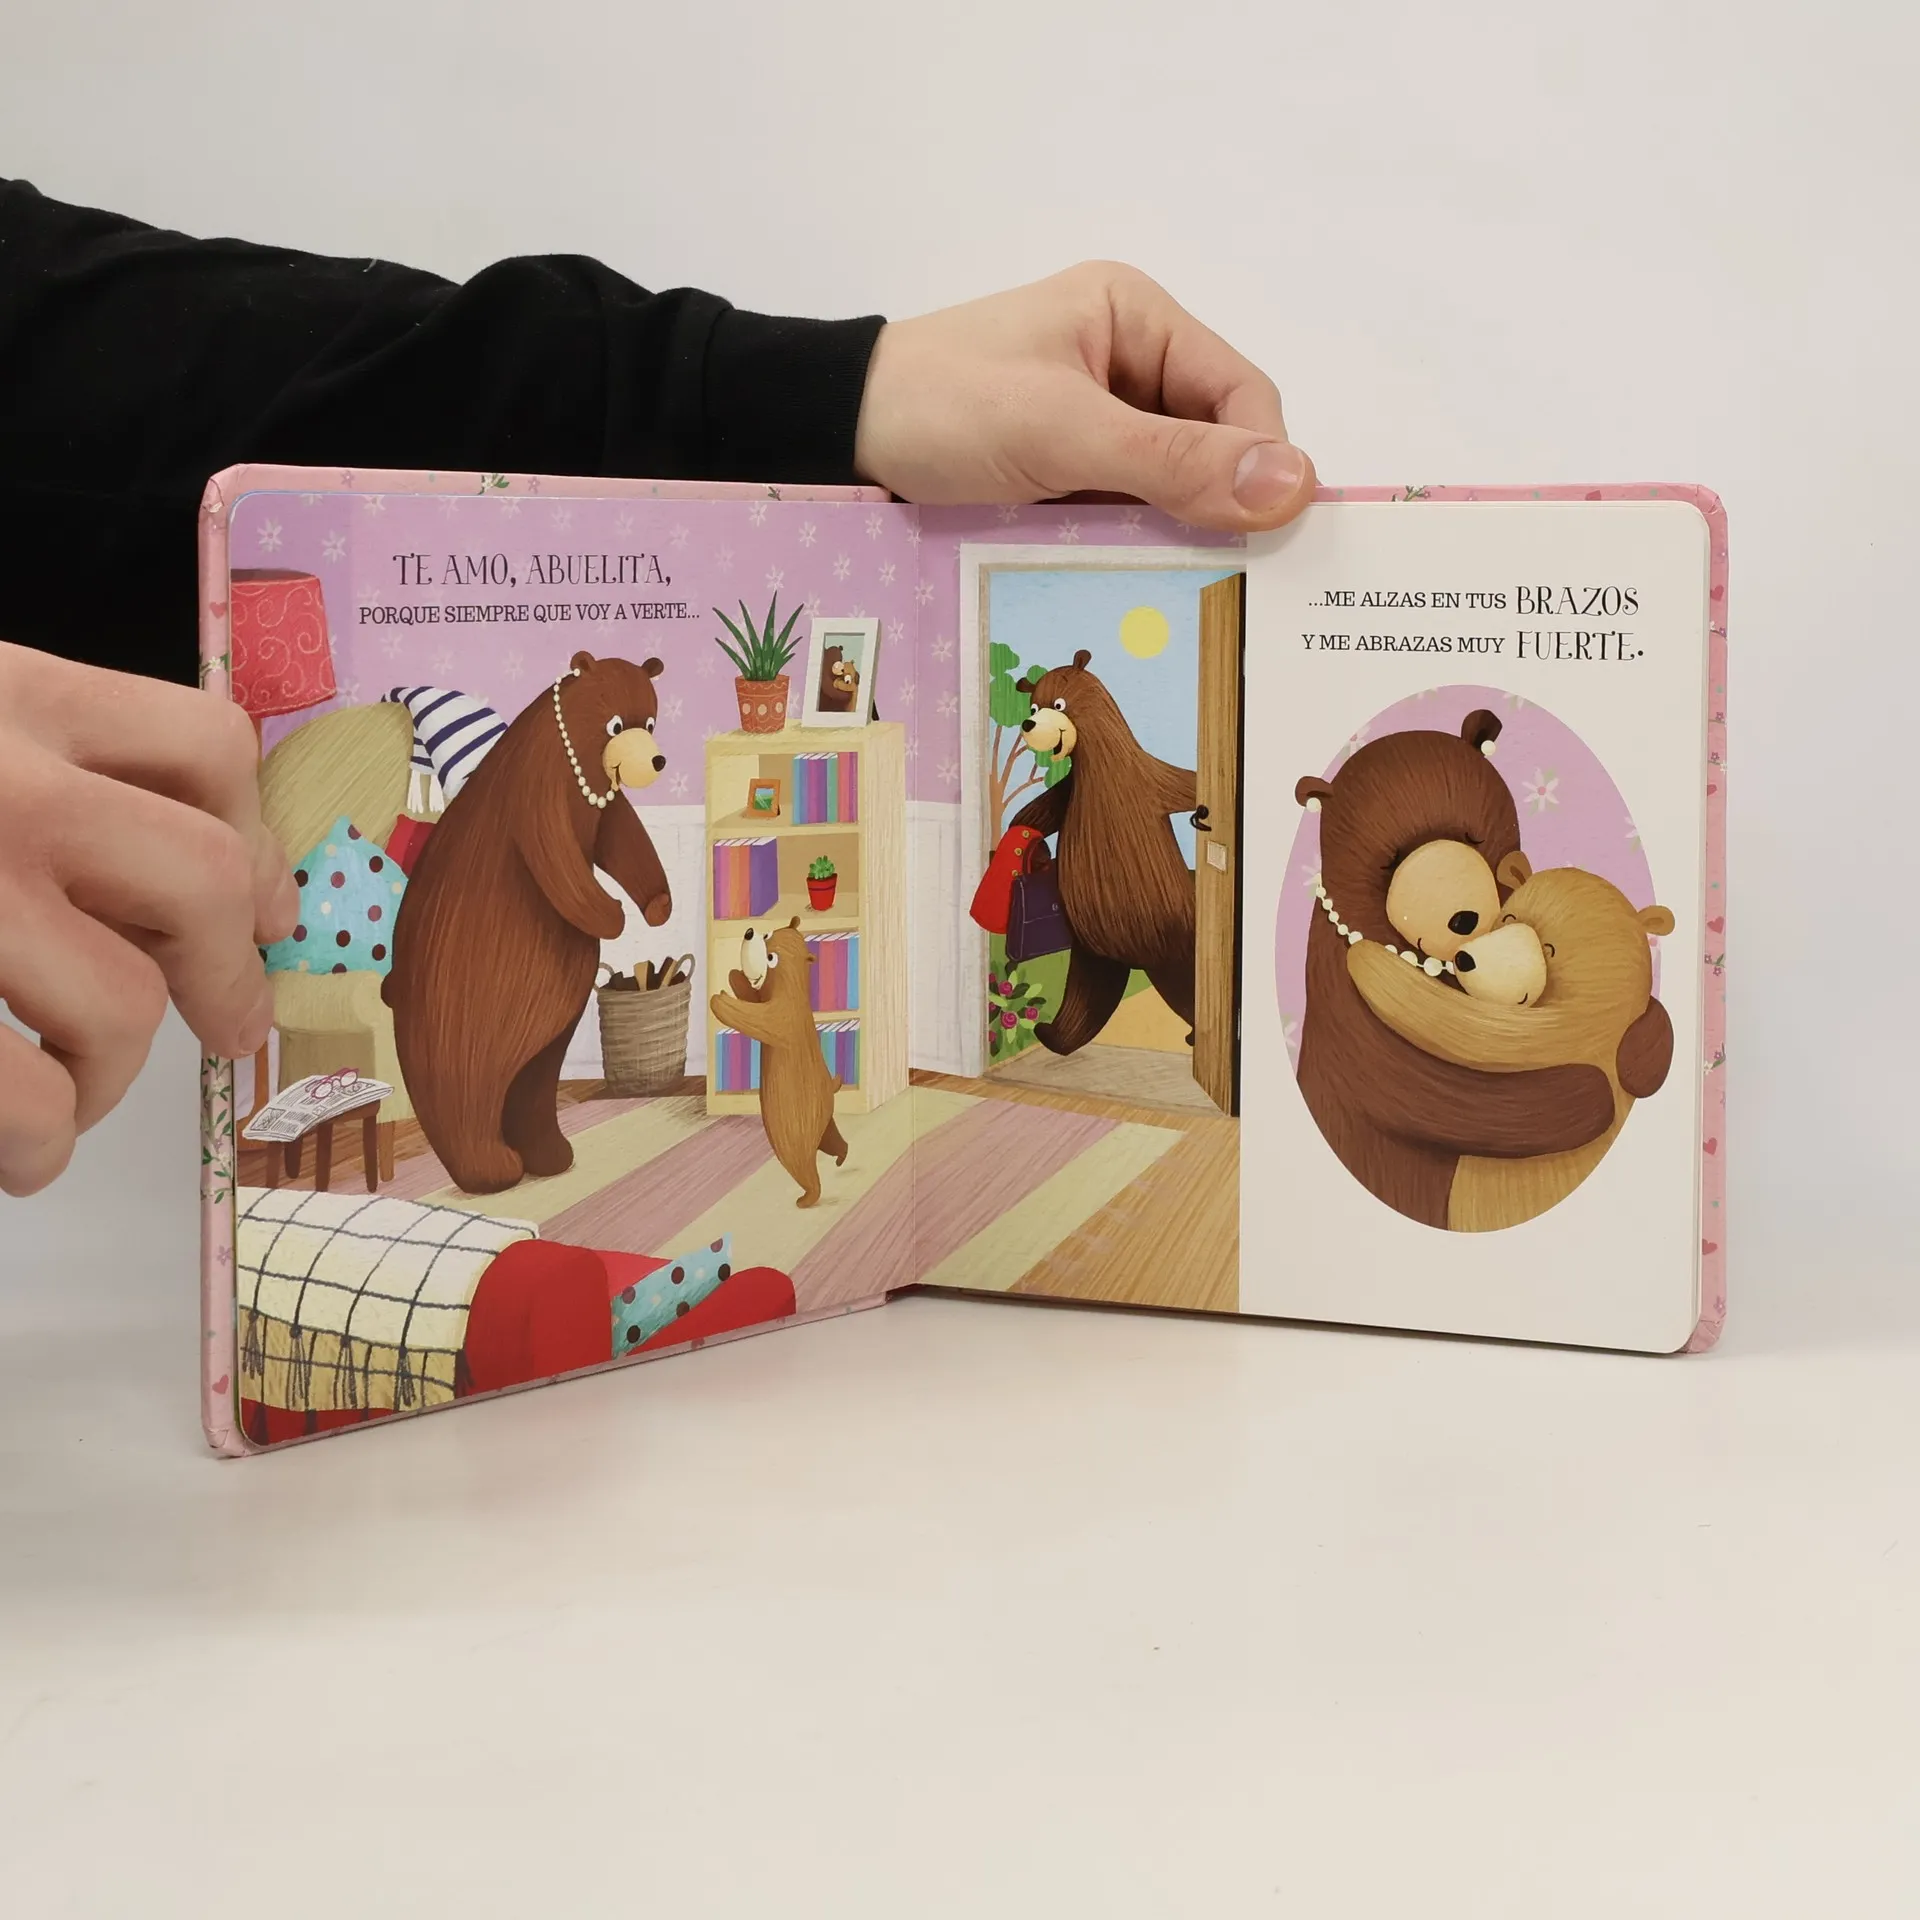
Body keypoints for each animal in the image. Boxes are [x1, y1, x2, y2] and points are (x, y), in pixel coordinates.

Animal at [383, 651, 673, 1194]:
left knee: (532, 1081)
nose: (657, 761)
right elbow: (555, 852)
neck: (580, 764)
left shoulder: (601, 805)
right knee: (465, 1086)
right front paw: (610, 913)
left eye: (650, 722)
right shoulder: (536, 790)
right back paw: (489, 1168)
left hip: (539, 1029)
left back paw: (547, 1154)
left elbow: (625, 837)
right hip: (460, 1007)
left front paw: (657, 905)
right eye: (615, 724)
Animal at [710, 919, 848, 1208]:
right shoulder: (766, 996)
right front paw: (734, 976)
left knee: (801, 1162)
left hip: (795, 1128)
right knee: (833, 1141)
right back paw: (842, 1155)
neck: (792, 983)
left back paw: (807, 1198)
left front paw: (721, 1000)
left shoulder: (784, 1017)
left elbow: (758, 1017)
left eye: (771, 958)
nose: (749, 932)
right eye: (767, 934)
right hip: (825, 1121)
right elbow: (751, 995)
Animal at [1007, 649, 1198, 1055]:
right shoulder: (1068, 791)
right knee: (1087, 995)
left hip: (1170, 943)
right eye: (1032, 706)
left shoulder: (1153, 780)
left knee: (1183, 986)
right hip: (1091, 952)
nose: (1028, 723)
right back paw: (1055, 1035)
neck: (1102, 771)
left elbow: (1186, 785)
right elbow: (1037, 812)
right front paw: (1032, 848)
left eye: (1058, 704)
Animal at [1292, 709, 1620, 1229]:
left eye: (1473, 836)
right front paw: (1588, 1093)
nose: (1462, 918)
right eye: (1391, 860)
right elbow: (1428, 1093)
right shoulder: (1343, 1001)